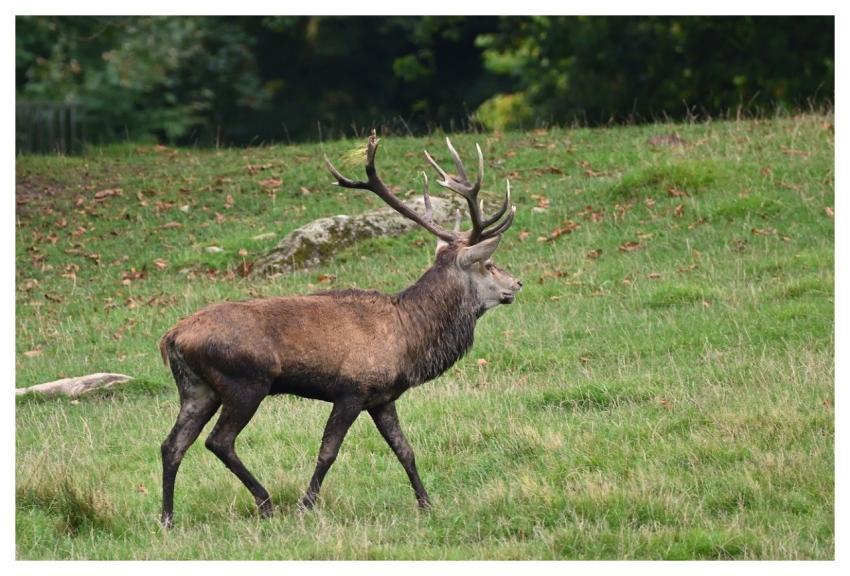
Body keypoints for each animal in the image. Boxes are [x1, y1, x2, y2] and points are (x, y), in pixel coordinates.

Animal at [158, 130, 521, 528]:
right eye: (489, 264)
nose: (517, 283)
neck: (409, 338)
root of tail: (171, 338)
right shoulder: (351, 389)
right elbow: (328, 452)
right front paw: (306, 506)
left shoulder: (382, 397)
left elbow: (405, 450)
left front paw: (427, 504)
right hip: (245, 381)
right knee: (219, 441)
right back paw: (266, 502)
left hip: (197, 389)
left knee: (172, 445)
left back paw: (167, 519)